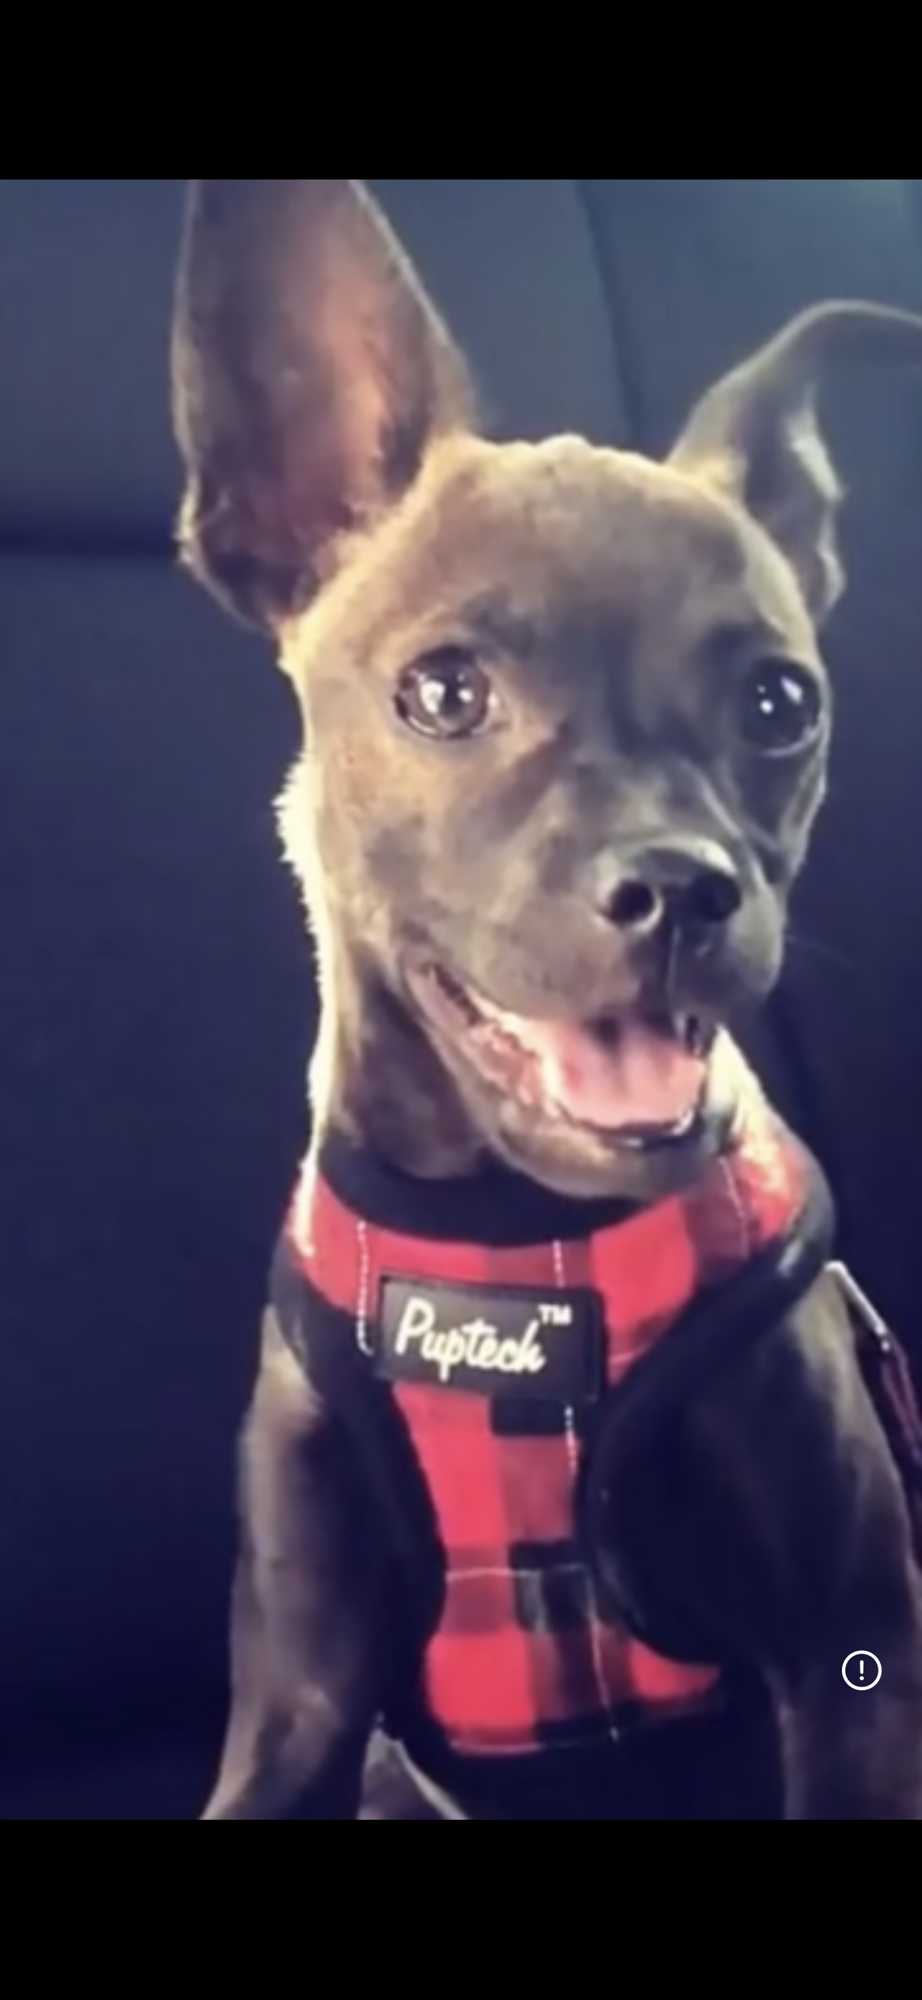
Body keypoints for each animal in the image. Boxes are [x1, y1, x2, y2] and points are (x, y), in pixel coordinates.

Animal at [171, 179, 922, 1819]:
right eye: (445, 693)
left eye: (779, 704)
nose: (683, 888)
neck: (511, 1241)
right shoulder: (302, 1706)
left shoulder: (851, 1666)